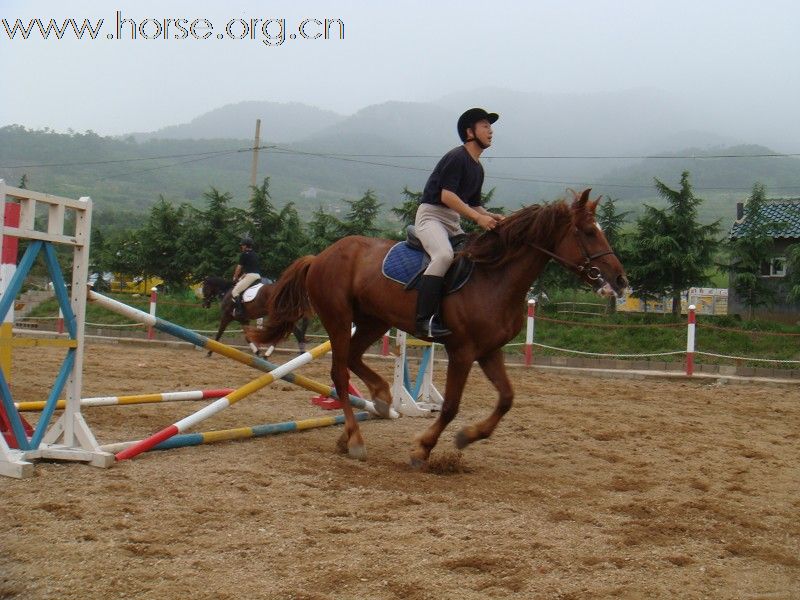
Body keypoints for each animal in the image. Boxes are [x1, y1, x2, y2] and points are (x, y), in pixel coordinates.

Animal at [253, 190, 628, 466]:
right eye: (589, 232)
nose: (620, 281)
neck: (495, 277)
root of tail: (320, 256)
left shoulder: (489, 351)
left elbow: (507, 399)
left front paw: (467, 436)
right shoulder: (462, 352)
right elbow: (450, 406)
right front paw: (423, 448)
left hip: (374, 320)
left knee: (355, 360)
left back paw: (377, 403)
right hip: (339, 319)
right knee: (340, 374)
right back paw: (357, 438)